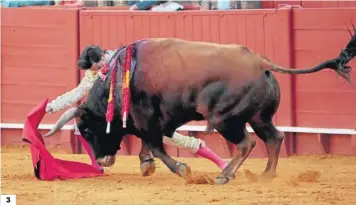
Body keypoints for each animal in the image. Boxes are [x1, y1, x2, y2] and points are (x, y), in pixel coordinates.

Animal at [45, 29, 356, 185]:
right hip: (259, 117)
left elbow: (157, 146)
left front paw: (182, 169)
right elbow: (150, 144)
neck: (121, 74)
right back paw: (266, 175)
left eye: (86, 130)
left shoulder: (150, 119)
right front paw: (147, 164)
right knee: (274, 138)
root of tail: (261, 62)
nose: (101, 161)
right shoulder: (154, 121)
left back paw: (225, 175)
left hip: (225, 119)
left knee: (246, 144)